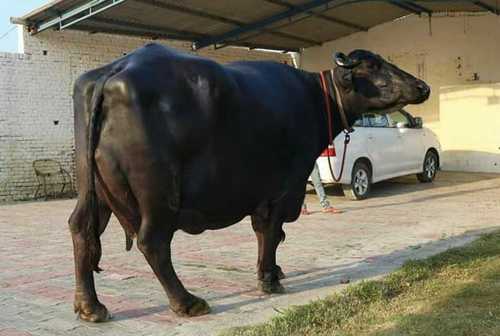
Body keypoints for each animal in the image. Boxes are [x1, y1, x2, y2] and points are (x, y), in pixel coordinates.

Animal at [69, 43, 430, 322]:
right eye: (373, 65)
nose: (422, 87)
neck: (316, 98)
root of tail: (115, 70)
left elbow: (267, 233)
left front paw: (275, 270)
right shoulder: (284, 188)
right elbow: (270, 232)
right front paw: (270, 279)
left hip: (94, 189)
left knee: (81, 229)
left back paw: (90, 307)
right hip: (159, 194)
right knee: (153, 242)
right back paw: (187, 302)